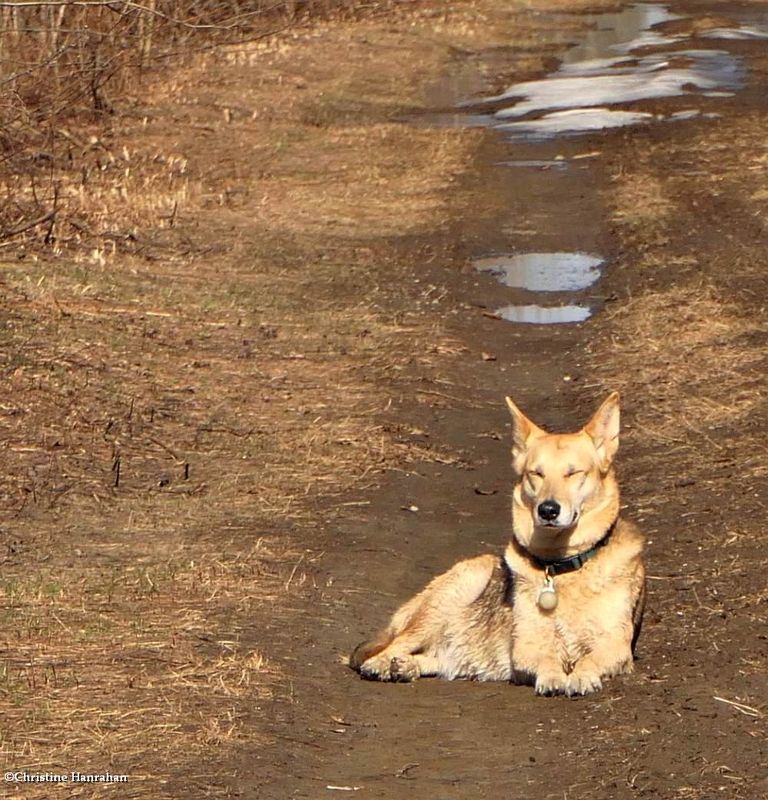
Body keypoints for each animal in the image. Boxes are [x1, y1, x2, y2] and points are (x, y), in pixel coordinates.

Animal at [352, 392, 644, 692]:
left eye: (574, 473)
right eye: (536, 474)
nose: (548, 510)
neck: (561, 564)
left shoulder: (615, 644)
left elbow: (591, 660)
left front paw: (581, 675)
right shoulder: (528, 645)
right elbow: (547, 660)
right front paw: (553, 678)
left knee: (434, 658)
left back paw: (406, 666)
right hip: (464, 581)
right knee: (395, 645)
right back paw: (381, 663)